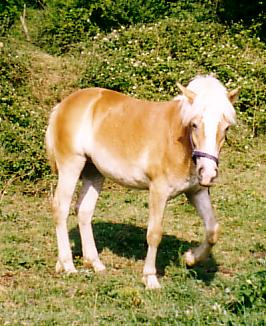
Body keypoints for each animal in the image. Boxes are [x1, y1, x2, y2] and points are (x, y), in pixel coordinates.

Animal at [45, 76, 239, 288]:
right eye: (194, 124)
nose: (208, 173)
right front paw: (150, 278)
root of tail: (63, 104)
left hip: (93, 172)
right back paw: (67, 265)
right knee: (60, 208)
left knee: (84, 211)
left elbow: (212, 230)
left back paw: (94, 263)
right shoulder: (158, 192)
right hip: (71, 166)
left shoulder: (196, 192)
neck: (178, 141)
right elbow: (154, 234)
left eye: (226, 127)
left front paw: (189, 258)